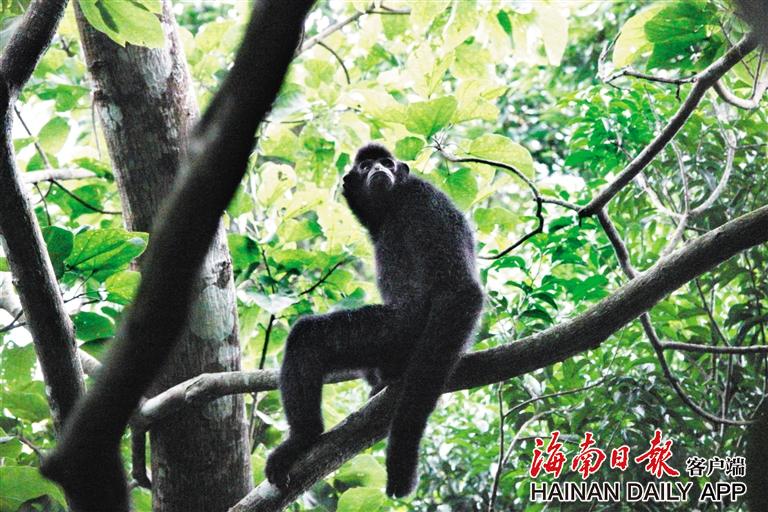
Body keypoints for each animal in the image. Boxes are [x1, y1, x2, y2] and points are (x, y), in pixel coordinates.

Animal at [265, 143, 483, 498]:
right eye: (367, 166)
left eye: (387, 163)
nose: (380, 170)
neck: (392, 206)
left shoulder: (425, 201)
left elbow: (461, 291)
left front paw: (402, 451)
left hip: (399, 331)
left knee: (308, 338)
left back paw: (303, 439)